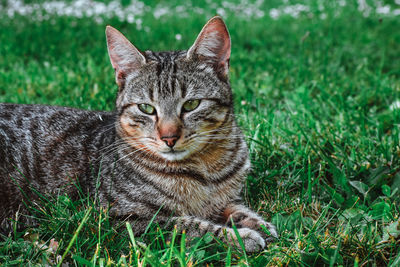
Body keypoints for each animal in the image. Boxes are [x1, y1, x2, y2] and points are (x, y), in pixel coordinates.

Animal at [0, 16, 276, 253]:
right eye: (146, 108)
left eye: (191, 104)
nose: (169, 137)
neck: (205, 170)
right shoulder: (120, 219)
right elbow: (187, 225)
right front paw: (239, 236)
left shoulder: (227, 198)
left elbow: (238, 209)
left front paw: (258, 225)